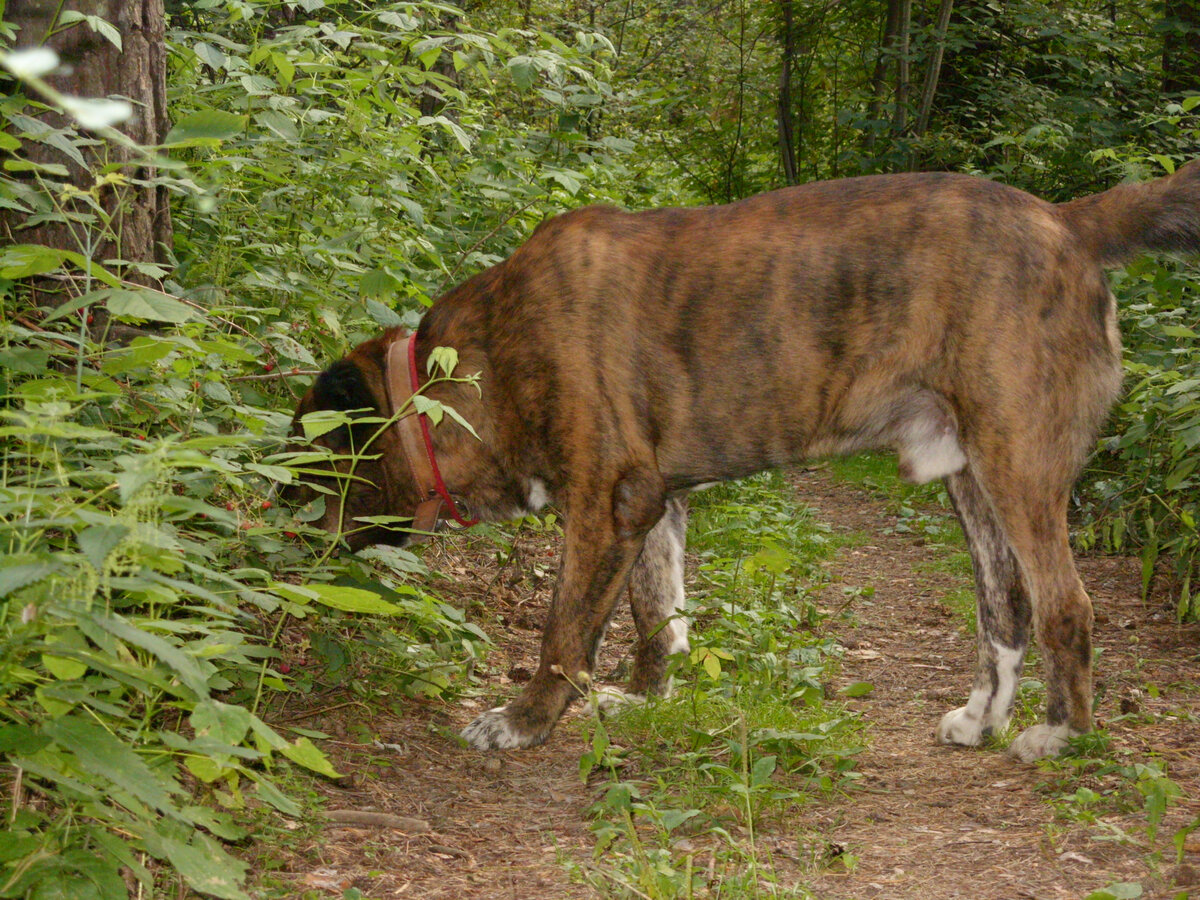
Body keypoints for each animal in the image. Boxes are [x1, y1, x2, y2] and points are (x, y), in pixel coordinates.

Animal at [290, 164, 1200, 763]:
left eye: (307, 475)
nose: (290, 549)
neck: (471, 371)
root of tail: (1069, 221)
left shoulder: (608, 501)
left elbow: (564, 631)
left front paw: (524, 721)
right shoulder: (651, 502)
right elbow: (656, 611)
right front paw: (642, 697)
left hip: (1016, 463)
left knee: (1065, 605)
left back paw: (1059, 733)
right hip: (968, 475)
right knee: (1004, 605)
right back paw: (983, 723)